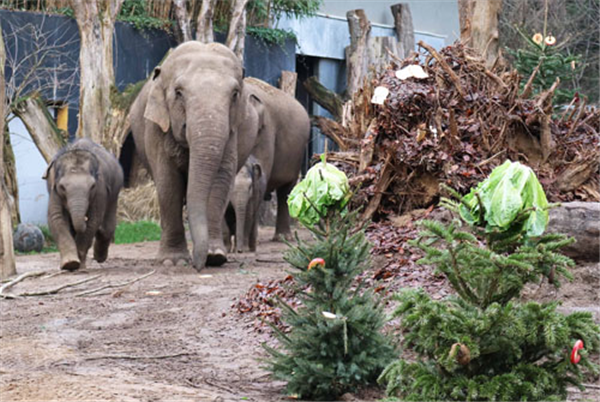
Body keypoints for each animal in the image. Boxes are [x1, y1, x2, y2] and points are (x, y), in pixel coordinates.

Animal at [43, 137, 124, 270]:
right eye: (62, 187)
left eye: (92, 186)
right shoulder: (53, 190)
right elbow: (56, 218)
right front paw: (70, 264)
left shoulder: (100, 190)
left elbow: (93, 220)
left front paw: (79, 265)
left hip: (115, 191)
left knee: (107, 227)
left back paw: (99, 258)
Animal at [130, 41, 310, 270]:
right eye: (178, 93)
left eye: (234, 94)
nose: (198, 265)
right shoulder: (156, 128)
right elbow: (168, 182)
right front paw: (174, 261)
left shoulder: (246, 132)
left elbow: (221, 180)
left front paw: (215, 256)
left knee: (286, 190)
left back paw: (279, 238)